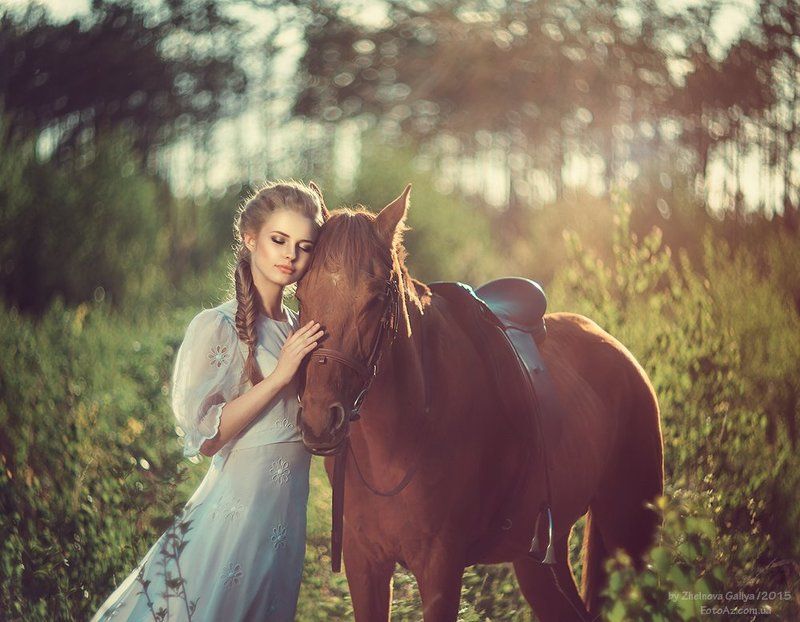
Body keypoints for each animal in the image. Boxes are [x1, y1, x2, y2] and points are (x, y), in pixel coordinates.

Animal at [294, 185, 664, 621]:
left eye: (376, 297)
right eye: (301, 295)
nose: (319, 420)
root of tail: (620, 353)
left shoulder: (441, 569)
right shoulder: (364, 564)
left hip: (629, 530)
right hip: (540, 560)